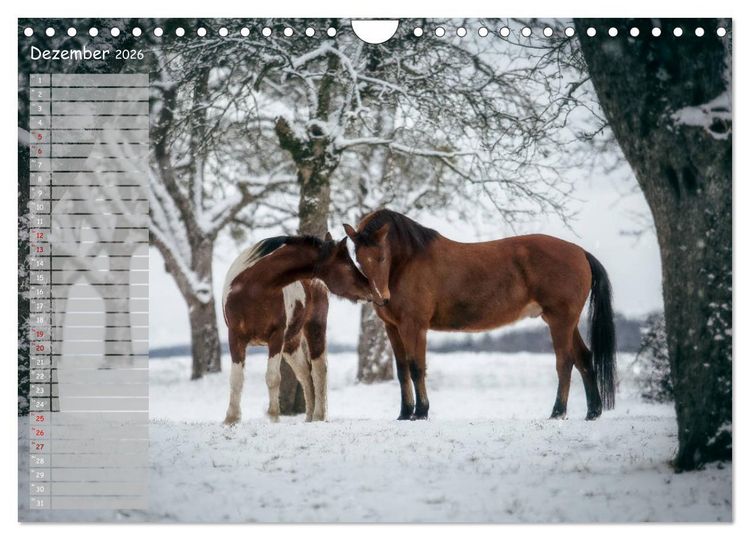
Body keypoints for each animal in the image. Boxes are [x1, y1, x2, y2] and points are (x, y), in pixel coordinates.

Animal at [222, 233, 372, 425]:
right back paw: (308, 417)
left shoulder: (276, 337)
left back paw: (318, 416)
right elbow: (236, 379)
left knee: (319, 370)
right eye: (347, 265)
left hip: (314, 328)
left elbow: (273, 378)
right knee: (304, 374)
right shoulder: (235, 337)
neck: (253, 288)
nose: (370, 288)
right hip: (291, 344)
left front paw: (273, 417)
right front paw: (231, 419)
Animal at [343, 209, 616, 421]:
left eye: (382, 257)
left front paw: (420, 412)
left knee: (565, 362)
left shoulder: (414, 326)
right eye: (358, 259)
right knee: (583, 358)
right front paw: (404, 413)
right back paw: (593, 412)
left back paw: (558, 412)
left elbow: (417, 367)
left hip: (560, 321)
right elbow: (402, 371)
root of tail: (580, 252)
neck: (407, 262)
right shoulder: (392, 327)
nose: (381, 297)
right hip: (566, 322)